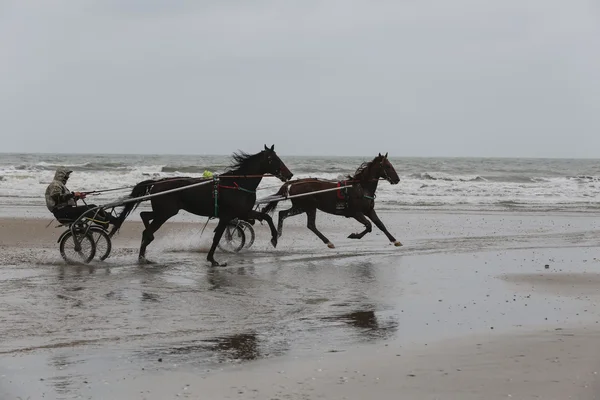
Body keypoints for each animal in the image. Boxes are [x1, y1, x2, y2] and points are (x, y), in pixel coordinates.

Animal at [113, 145, 292, 268]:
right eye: (273, 159)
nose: (289, 174)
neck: (237, 184)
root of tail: (157, 182)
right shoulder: (226, 216)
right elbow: (217, 237)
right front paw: (213, 260)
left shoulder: (244, 212)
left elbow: (266, 216)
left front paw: (274, 238)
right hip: (166, 213)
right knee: (147, 229)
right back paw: (143, 256)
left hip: (164, 212)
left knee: (145, 216)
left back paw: (144, 252)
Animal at [260, 152, 400, 247]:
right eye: (387, 166)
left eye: (391, 165)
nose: (397, 179)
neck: (361, 188)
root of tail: (295, 182)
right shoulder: (356, 213)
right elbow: (369, 225)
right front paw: (354, 235)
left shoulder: (369, 210)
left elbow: (380, 225)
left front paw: (395, 240)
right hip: (309, 206)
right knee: (311, 225)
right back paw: (328, 242)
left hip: (300, 207)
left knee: (283, 214)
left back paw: (276, 237)